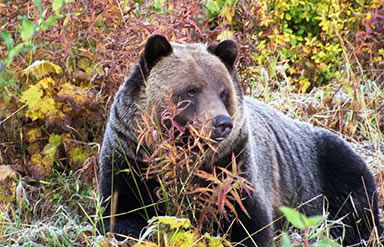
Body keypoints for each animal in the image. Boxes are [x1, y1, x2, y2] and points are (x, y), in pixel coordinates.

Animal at [98, 34, 380, 245]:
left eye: (223, 92)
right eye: (191, 90)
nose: (222, 123)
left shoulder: (234, 165)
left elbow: (248, 222)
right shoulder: (130, 157)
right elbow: (122, 212)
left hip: (325, 166)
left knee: (354, 206)